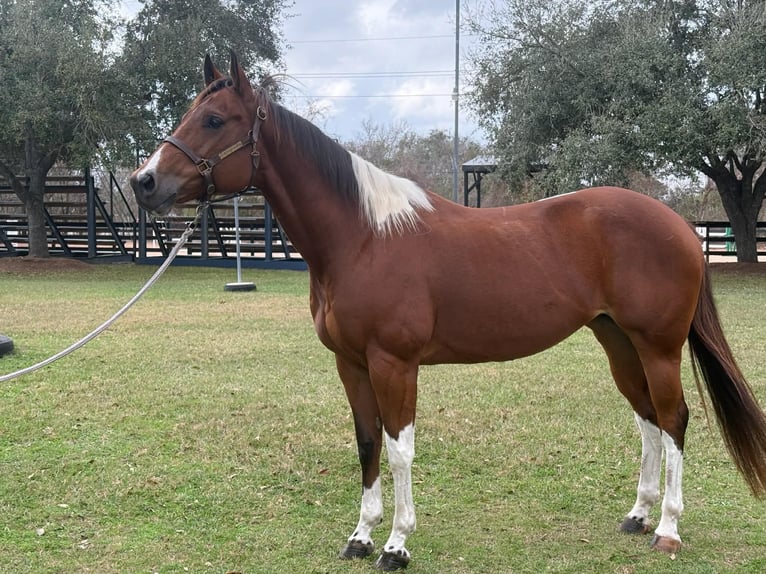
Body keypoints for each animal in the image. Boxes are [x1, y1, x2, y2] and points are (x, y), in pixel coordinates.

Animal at [130, 52, 766, 571]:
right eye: (190, 112)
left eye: (215, 120)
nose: (144, 181)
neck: (364, 236)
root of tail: (680, 226)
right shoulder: (351, 365)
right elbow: (366, 442)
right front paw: (360, 536)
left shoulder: (394, 363)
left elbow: (399, 449)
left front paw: (396, 545)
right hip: (618, 343)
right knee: (649, 421)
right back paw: (637, 515)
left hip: (658, 346)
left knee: (675, 419)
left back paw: (668, 530)